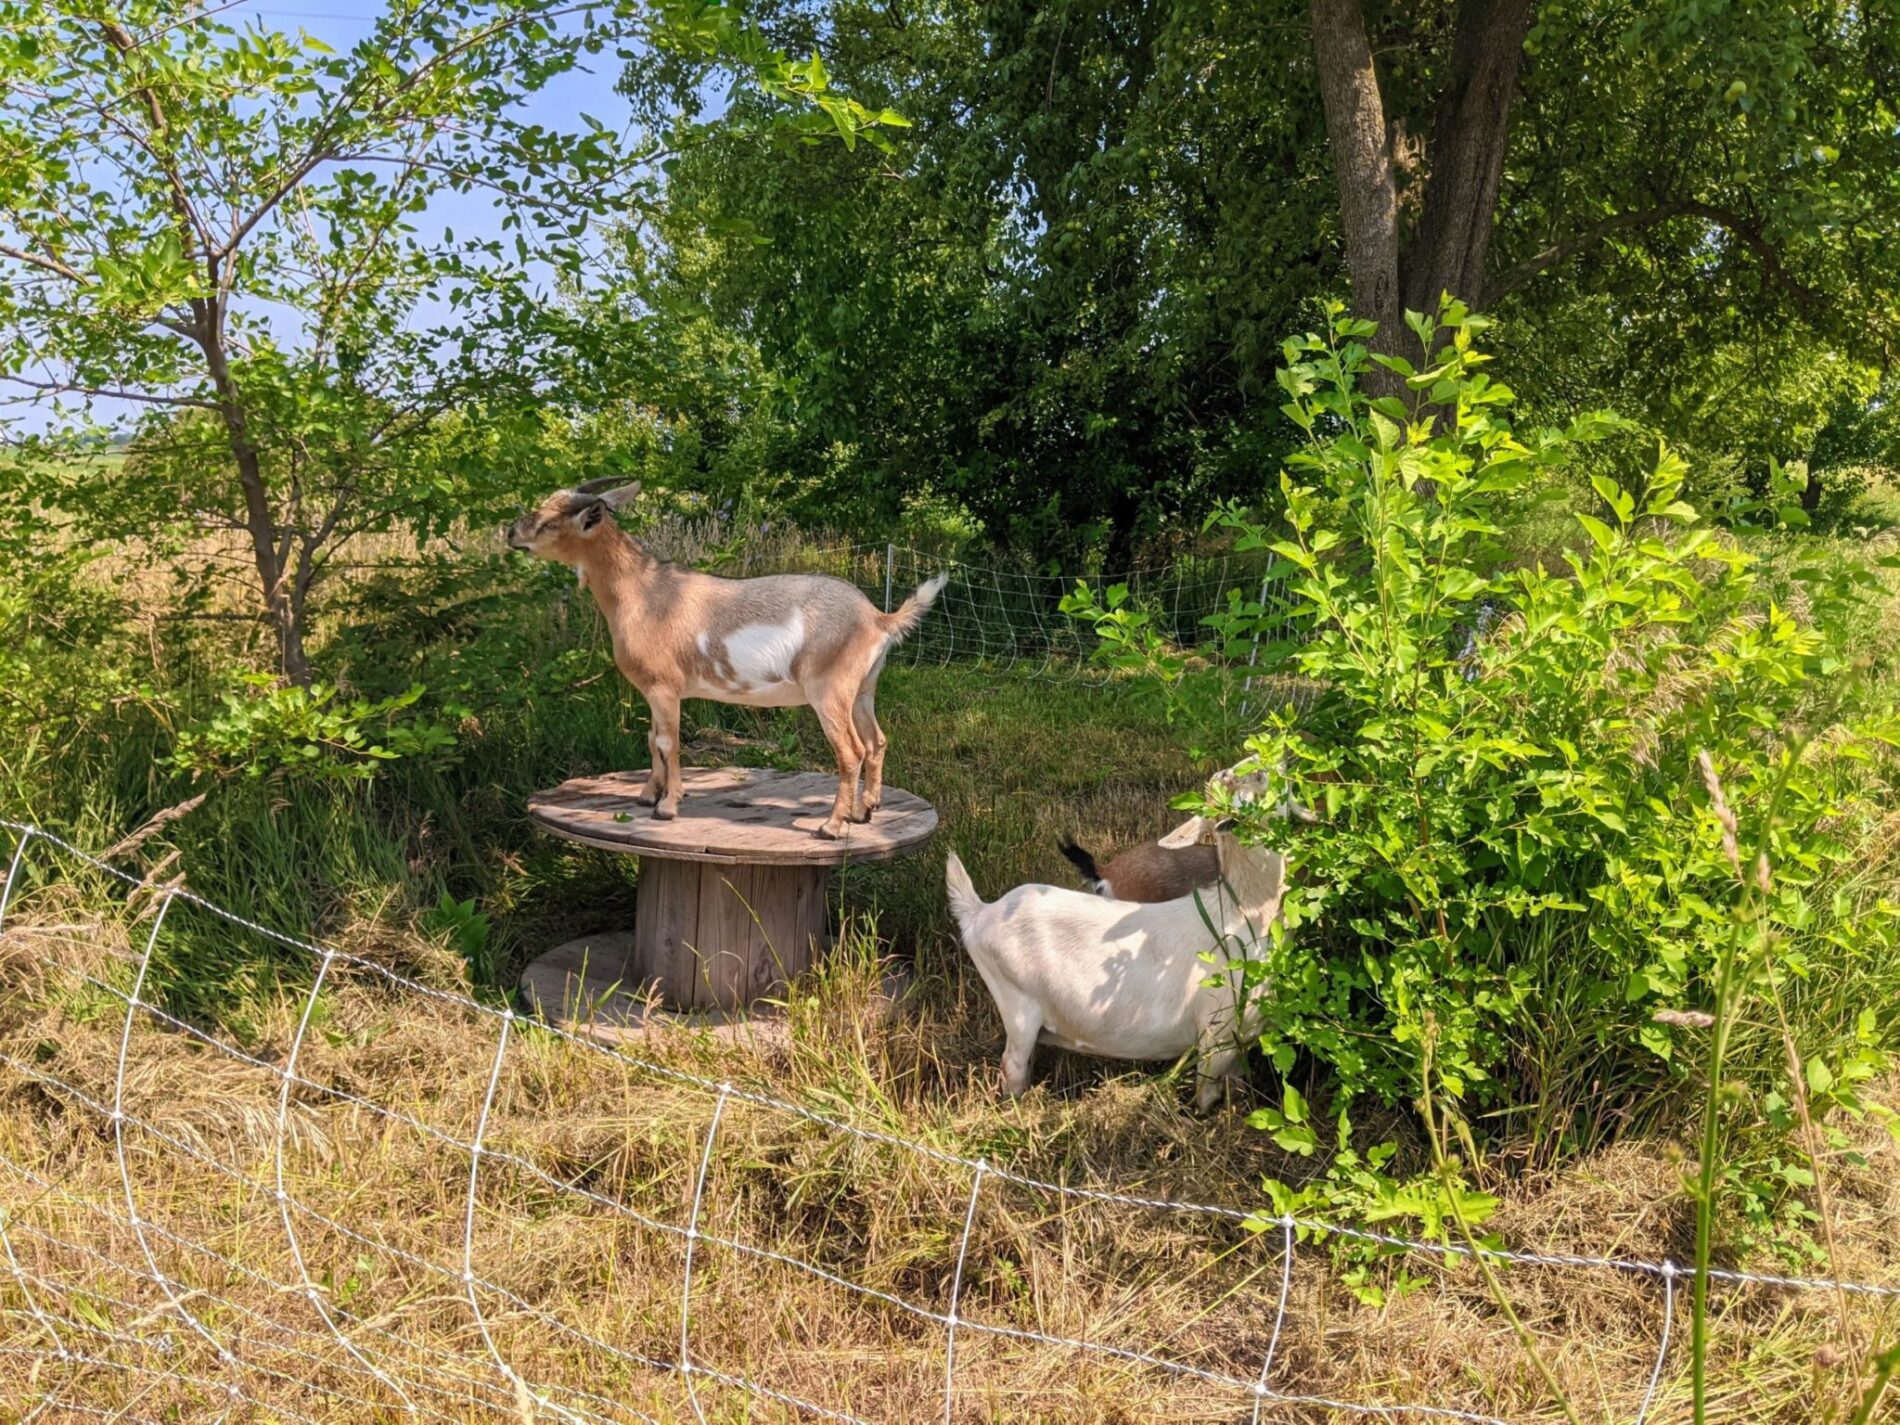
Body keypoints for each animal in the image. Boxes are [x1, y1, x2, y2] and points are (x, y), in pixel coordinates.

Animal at [509, 480, 946, 843]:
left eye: (549, 521)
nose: (512, 533)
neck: (644, 593)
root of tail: (878, 618)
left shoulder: (664, 686)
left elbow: (668, 741)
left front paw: (668, 806)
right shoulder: (654, 690)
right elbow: (652, 738)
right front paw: (647, 795)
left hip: (830, 689)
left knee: (851, 752)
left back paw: (832, 826)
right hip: (863, 689)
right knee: (876, 741)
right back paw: (864, 811)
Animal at [950, 771, 1292, 1117]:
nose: (1267, 772)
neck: (1238, 912)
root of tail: (979, 912)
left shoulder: (1240, 1040)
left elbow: (1236, 1089)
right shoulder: (1215, 1033)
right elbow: (1206, 1095)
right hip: (1017, 1007)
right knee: (1013, 1066)